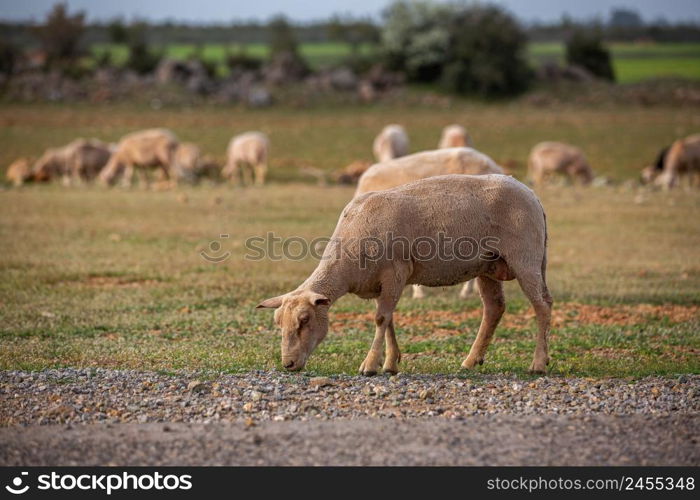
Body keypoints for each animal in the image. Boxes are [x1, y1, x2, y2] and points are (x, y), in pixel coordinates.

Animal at [258, 174, 552, 374]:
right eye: (278, 323)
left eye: (305, 320)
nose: (288, 364)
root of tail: (532, 195)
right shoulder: (383, 283)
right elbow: (388, 319)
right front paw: (390, 363)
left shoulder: (395, 272)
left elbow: (380, 319)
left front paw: (370, 365)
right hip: (488, 265)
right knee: (494, 308)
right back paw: (471, 361)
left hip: (525, 257)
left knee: (542, 305)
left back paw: (539, 362)